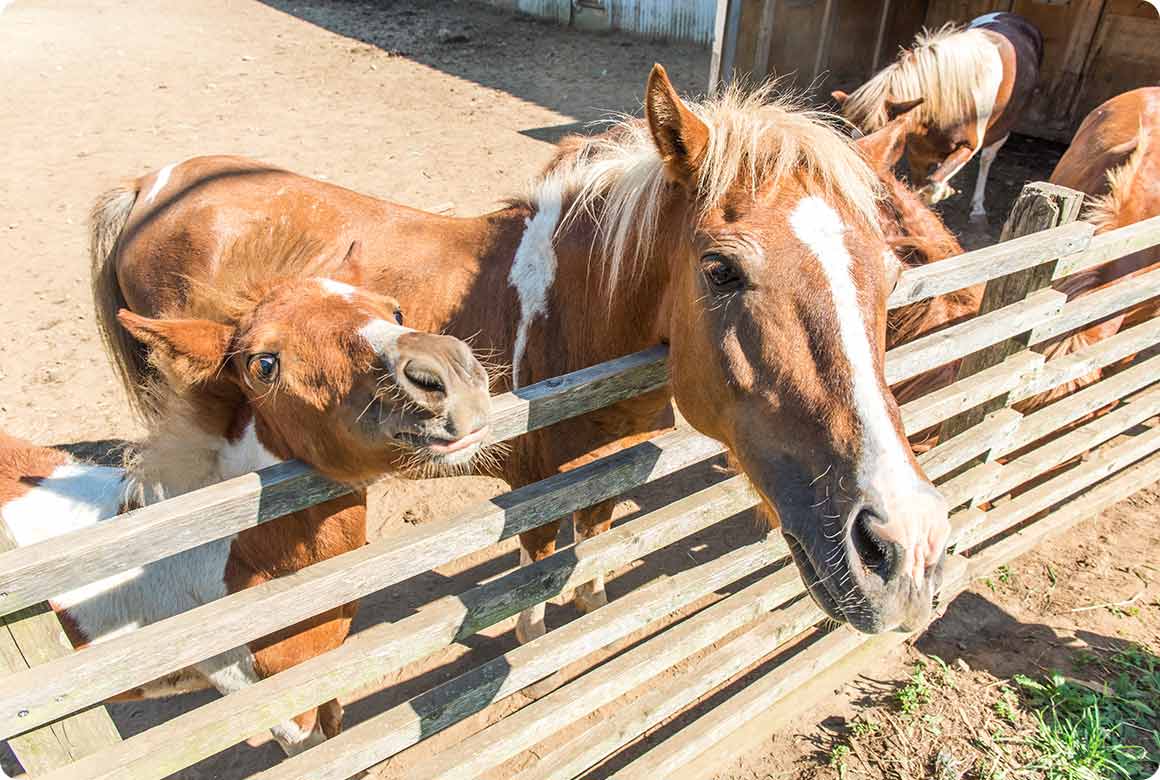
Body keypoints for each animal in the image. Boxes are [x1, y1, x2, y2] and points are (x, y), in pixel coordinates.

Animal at [0, 228, 489, 756]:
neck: (237, 559)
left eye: (395, 312)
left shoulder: (326, 670)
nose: (447, 374)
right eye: (264, 364)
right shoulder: (282, 706)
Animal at [92, 67, 951, 636]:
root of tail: (150, 184)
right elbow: (534, 581)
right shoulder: (536, 490)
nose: (905, 552)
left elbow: (594, 554)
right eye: (720, 269)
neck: (579, 318)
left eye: (891, 269)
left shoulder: (605, 476)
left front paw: (595, 611)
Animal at [835, 12, 1044, 220]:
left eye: (884, 139)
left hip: (1001, 133)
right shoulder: (918, 154)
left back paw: (977, 207)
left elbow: (931, 188)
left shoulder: (968, 147)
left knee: (986, 159)